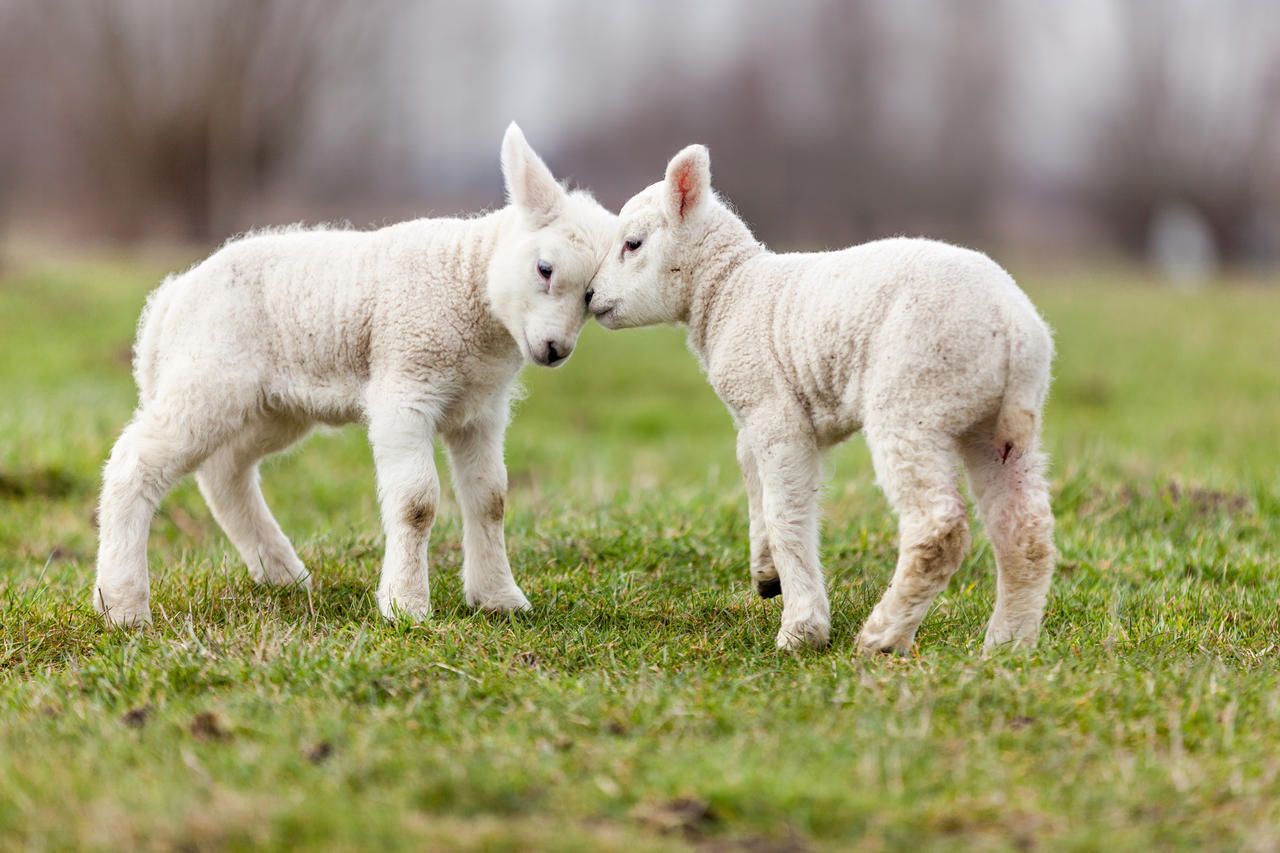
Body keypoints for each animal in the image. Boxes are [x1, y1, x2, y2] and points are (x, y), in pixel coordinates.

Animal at [93, 122, 614, 625]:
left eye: (591, 298)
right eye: (544, 269)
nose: (555, 350)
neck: (468, 281)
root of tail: (169, 300)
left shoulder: (480, 410)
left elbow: (491, 500)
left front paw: (499, 599)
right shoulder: (405, 386)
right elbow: (417, 503)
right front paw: (406, 606)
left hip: (273, 406)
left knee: (225, 472)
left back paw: (284, 575)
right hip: (208, 377)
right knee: (134, 463)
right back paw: (122, 606)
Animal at [586, 146, 1054, 650]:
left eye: (632, 244)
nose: (589, 295)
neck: (730, 290)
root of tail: (1013, 325)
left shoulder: (774, 411)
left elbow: (786, 513)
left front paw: (802, 628)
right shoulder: (768, 412)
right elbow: (752, 475)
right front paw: (766, 573)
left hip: (914, 399)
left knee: (938, 529)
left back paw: (882, 637)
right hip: (993, 424)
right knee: (1026, 532)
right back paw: (1007, 647)